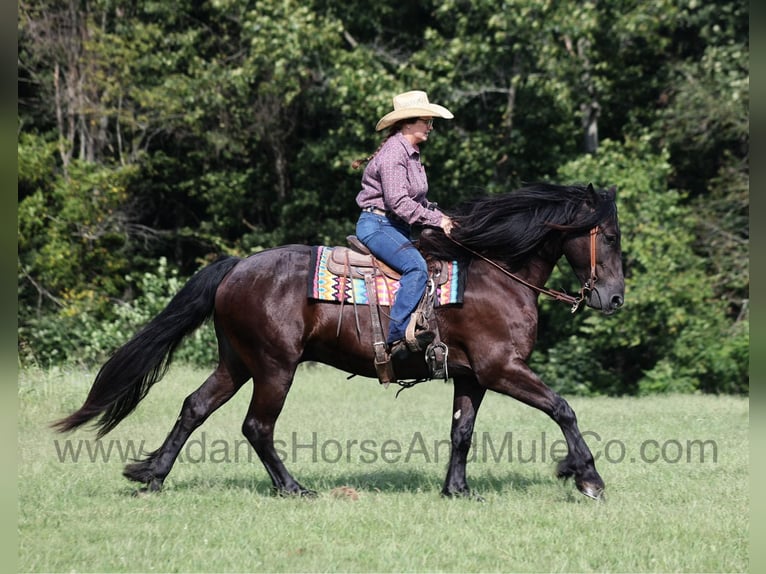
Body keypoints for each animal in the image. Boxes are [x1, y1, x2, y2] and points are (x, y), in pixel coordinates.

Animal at [54, 183, 624, 500]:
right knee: (257, 427)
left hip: (236, 363)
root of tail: (236, 267)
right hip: (274, 367)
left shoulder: (472, 377)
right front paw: (586, 477)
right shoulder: (502, 369)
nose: (614, 298)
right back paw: (293, 488)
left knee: (194, 407)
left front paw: (457, 490)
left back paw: (152, 476)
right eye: (612, 237)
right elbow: (563, 408)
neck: (496, 275)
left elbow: (461, 432)